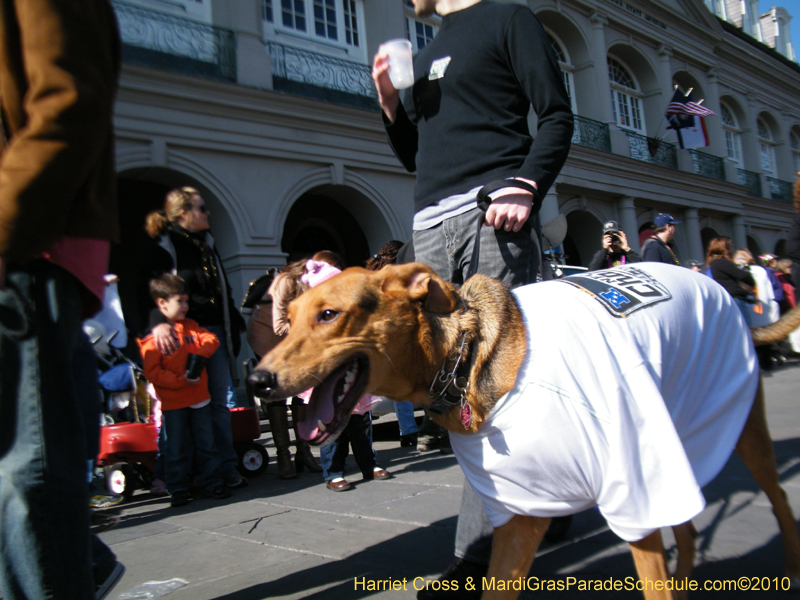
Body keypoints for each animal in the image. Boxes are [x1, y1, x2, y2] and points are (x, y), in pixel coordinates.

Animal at [248, 262, 800, 600]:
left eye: (329, 314)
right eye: (286, 319)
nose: (256, 381)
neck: (464, 359)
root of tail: (716, 286)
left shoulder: (631, 488)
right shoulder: (523, 508)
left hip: (739, 431)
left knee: (778, 503)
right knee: (687, 531)